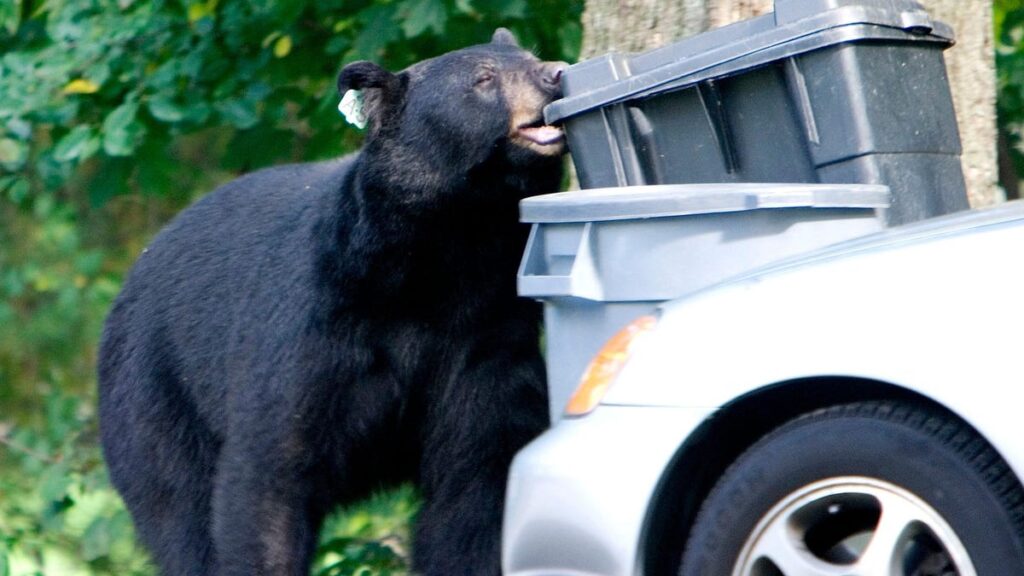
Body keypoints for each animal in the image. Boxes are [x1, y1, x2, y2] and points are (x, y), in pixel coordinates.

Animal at [98, 29, 565, 569]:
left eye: (529, 57)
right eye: (484, 79)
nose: (555, 73)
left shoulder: (485, 338)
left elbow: (476, 485)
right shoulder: (315, 326)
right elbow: (270, 478)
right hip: (155, 399)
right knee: (179, 512)